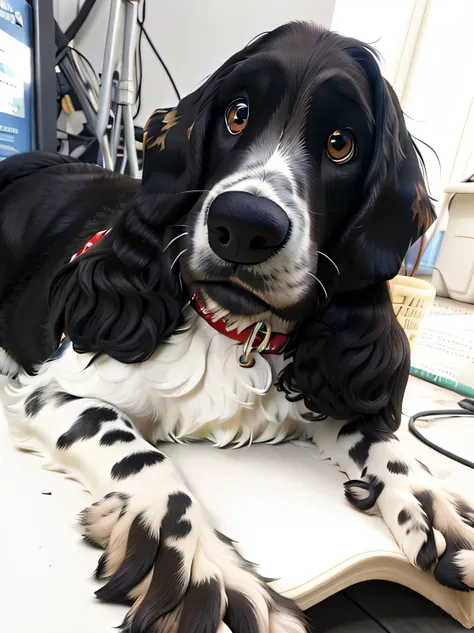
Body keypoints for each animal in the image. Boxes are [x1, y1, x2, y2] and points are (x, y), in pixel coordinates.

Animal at [0, 21, 474, 632]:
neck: (238, 332)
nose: (245, 226)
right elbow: (135, 450)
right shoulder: (59, 386)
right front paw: (200, 562)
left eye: (340, 143)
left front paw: (428, 499)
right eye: (237, 114)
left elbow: (377, 438)